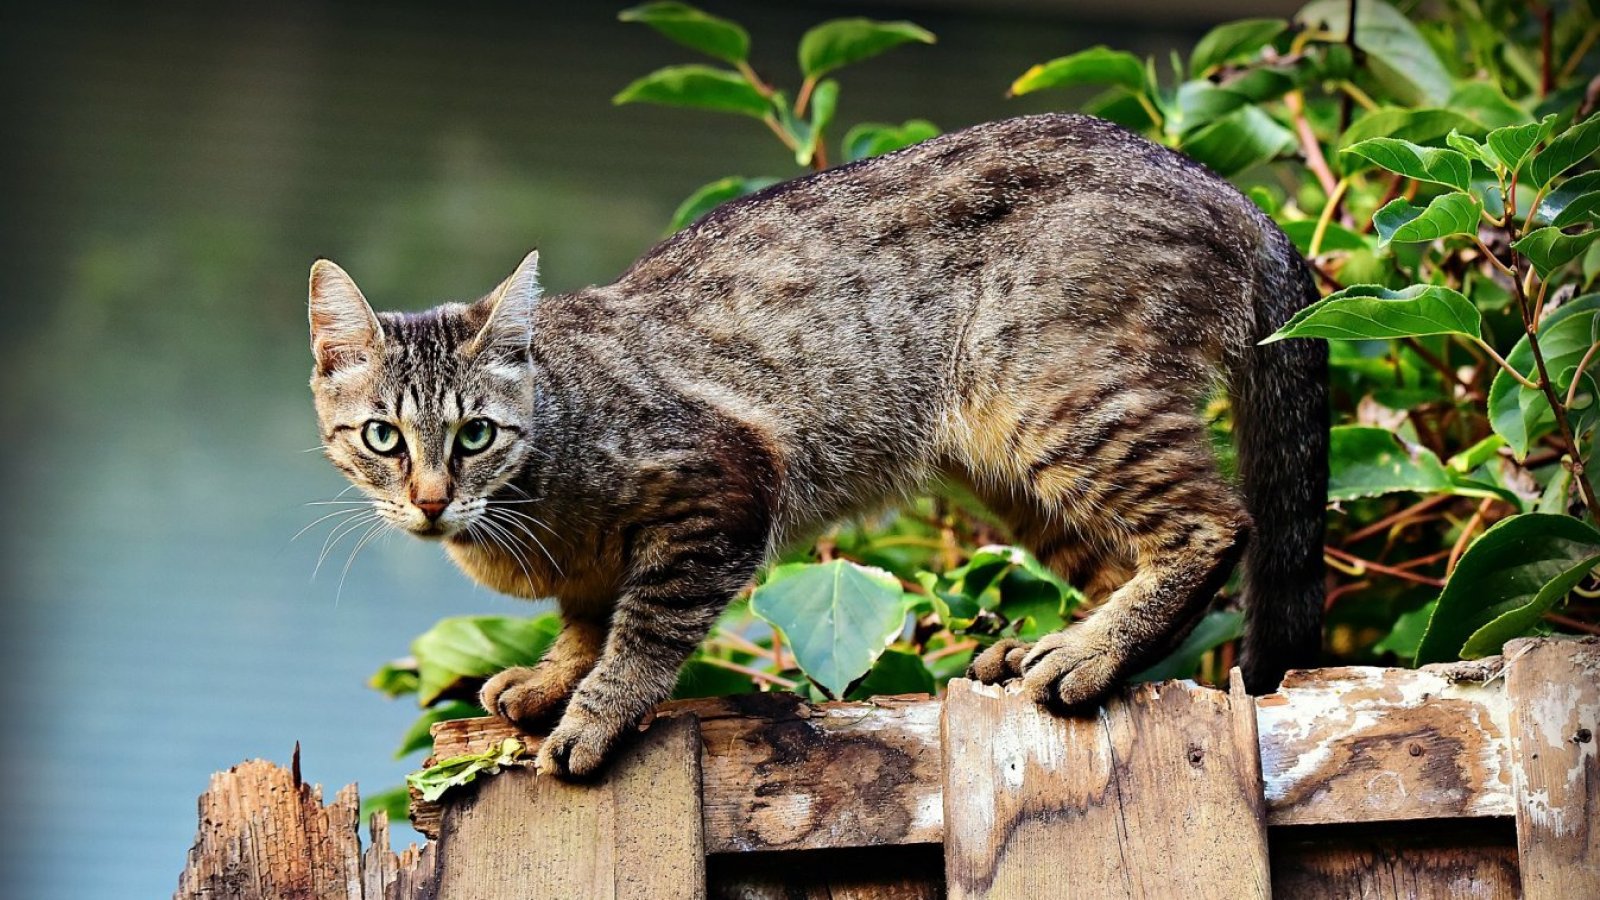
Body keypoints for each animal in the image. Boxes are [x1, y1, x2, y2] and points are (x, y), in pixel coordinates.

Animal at [302, 113, 1324, 778]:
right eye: (383, 437)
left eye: (474, 434)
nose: (431, 500)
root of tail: (1227, 189)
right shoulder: (594, 570)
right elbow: (586, 620)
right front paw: (555, 677)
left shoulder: (723, 488)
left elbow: (643, 630)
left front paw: (595, 711)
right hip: (1003, 465)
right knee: (1119, 558)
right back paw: (1054, 644)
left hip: (1056, 399)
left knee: (1215, 526)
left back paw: (1089, 654)